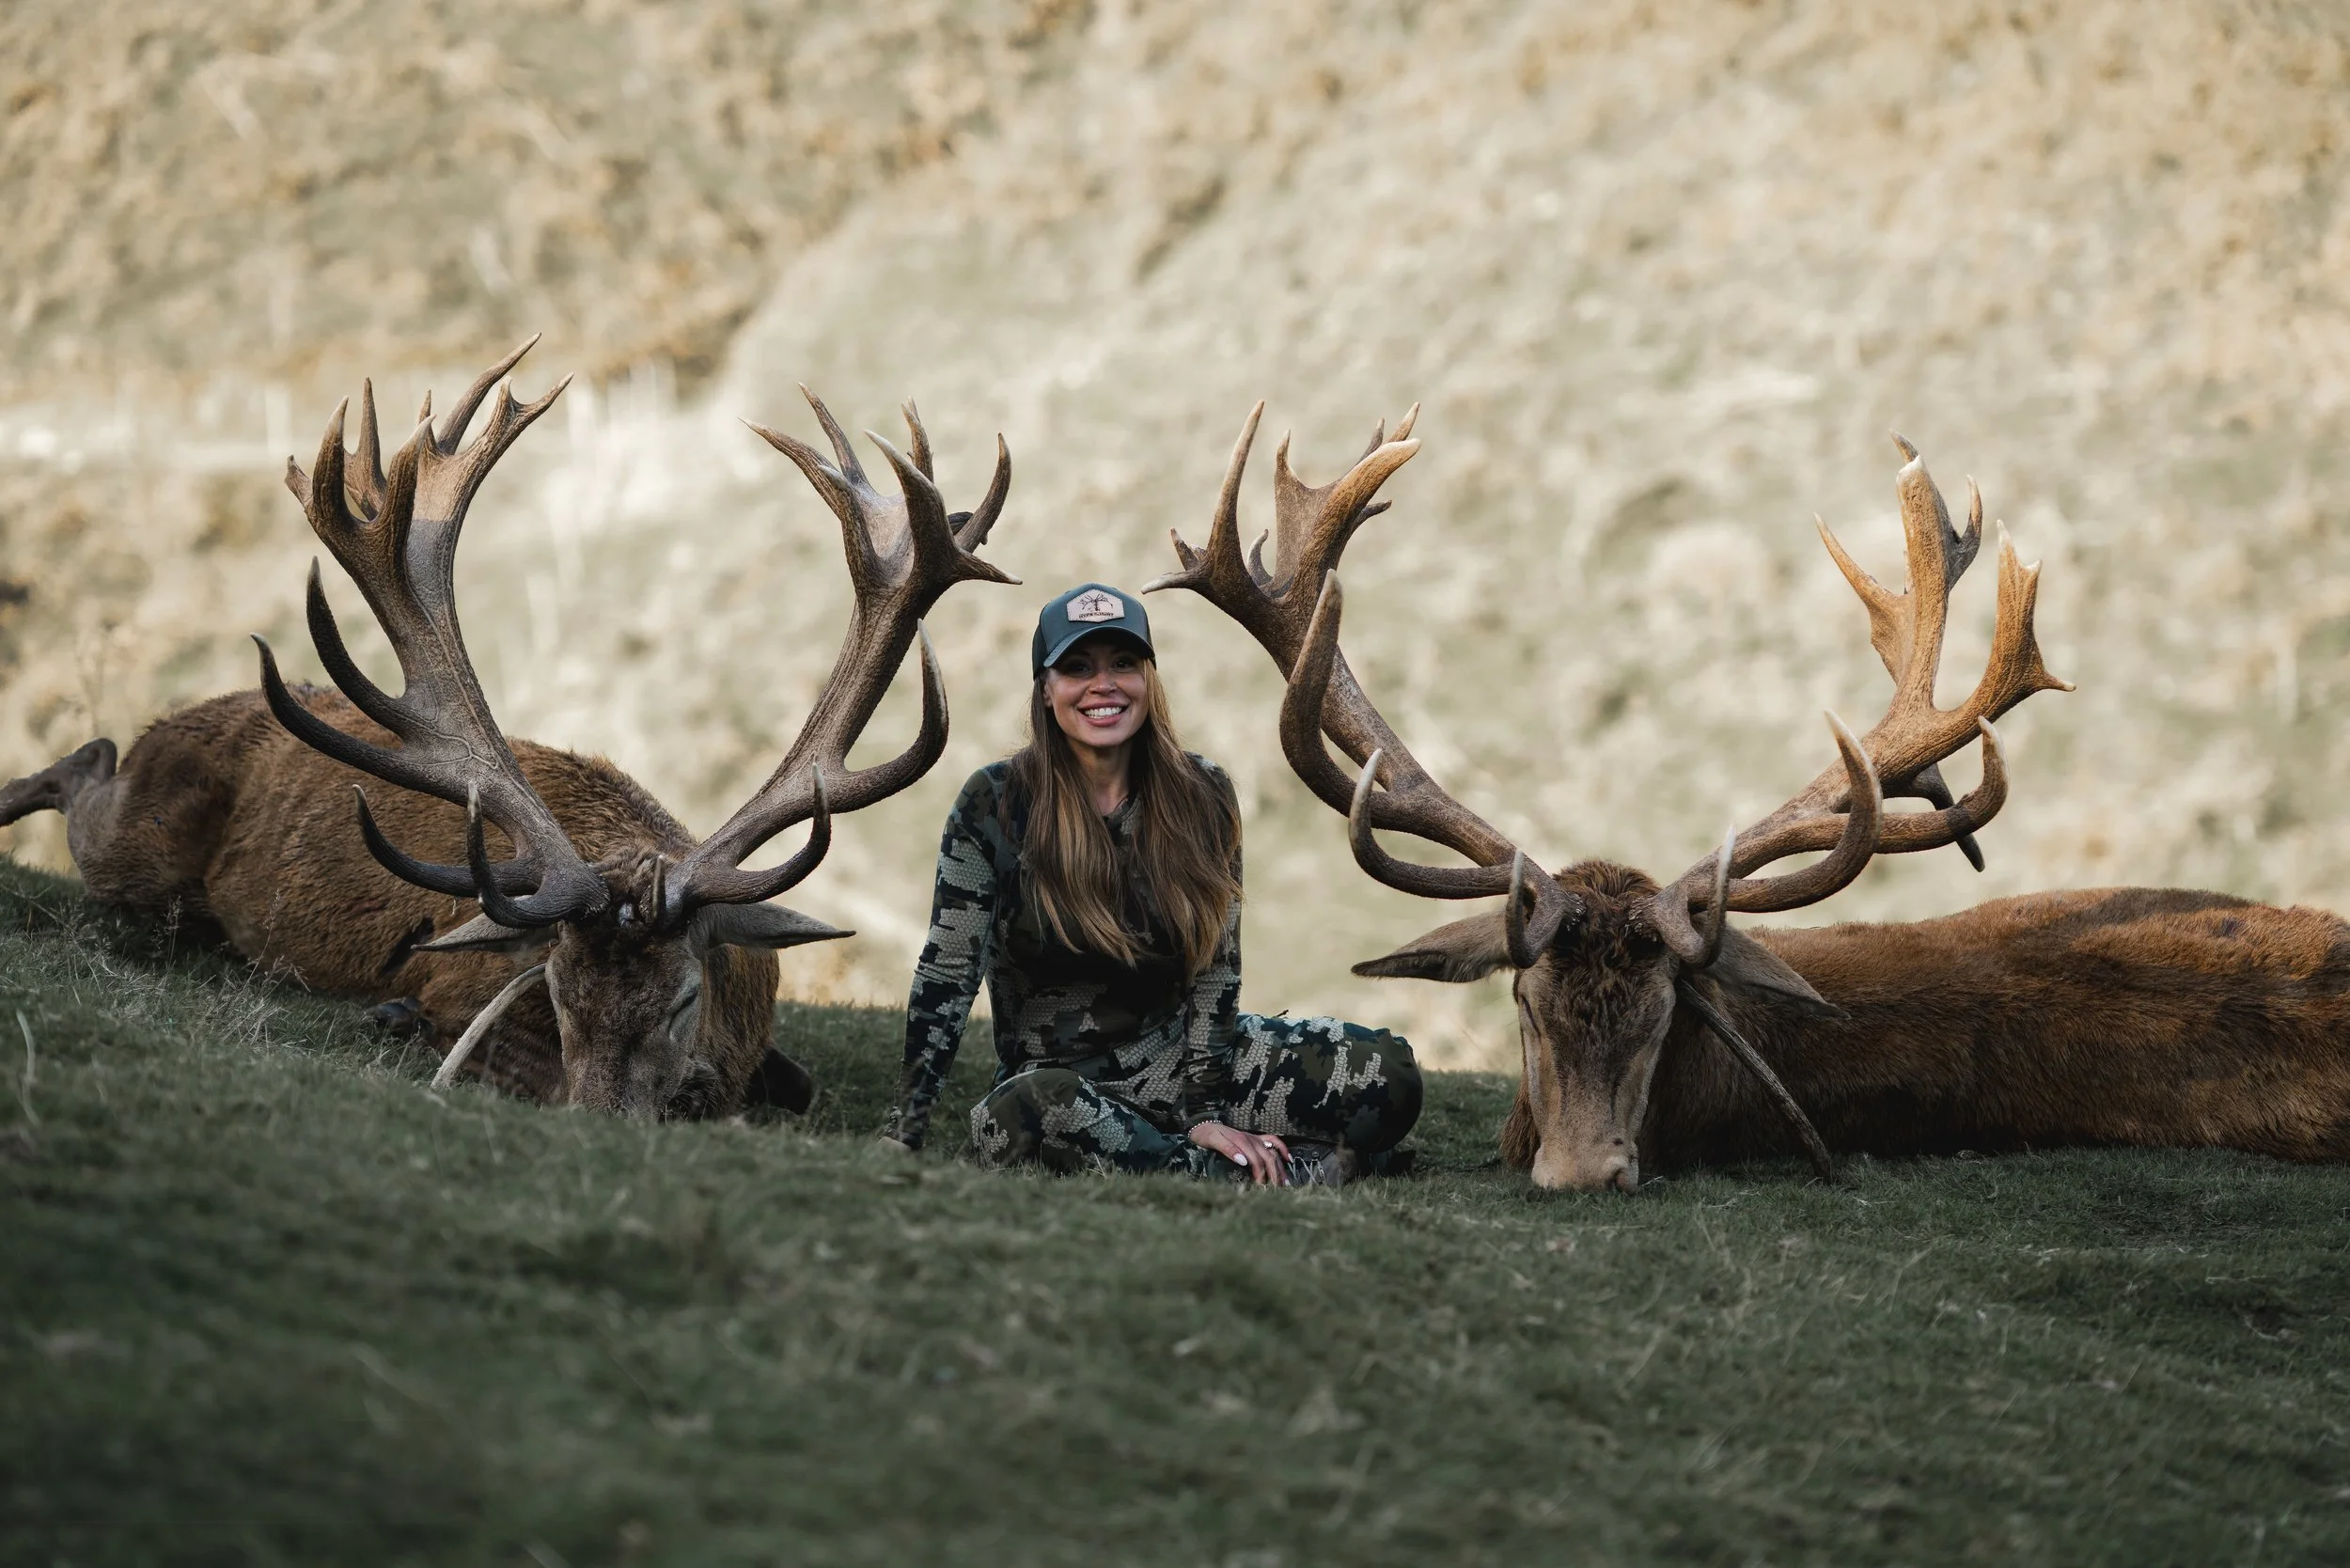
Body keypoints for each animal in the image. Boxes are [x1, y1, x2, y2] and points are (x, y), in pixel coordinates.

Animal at [0, 341, 1018, 1118]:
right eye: (555, 990)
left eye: (686, 994)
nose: (603, 1117)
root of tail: (177, 720)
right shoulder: (462, 989)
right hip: (145, 845)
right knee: (90, 767)